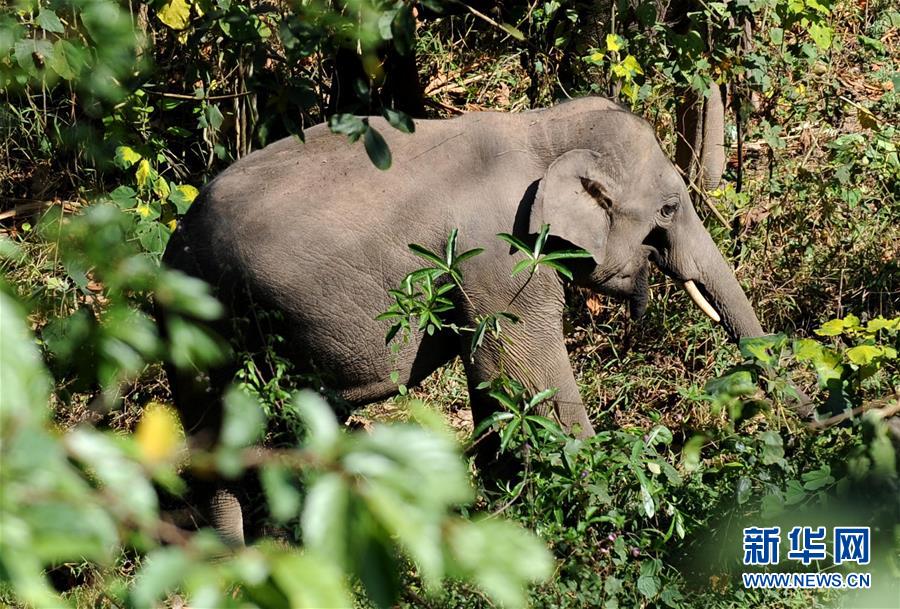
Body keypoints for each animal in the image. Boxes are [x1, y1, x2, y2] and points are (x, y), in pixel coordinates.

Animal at [163, 96, 768, 548]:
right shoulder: (504, 259)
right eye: (668, 209)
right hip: (201, 319)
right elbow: (528, 382)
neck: (544, 129)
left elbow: (497, 391)